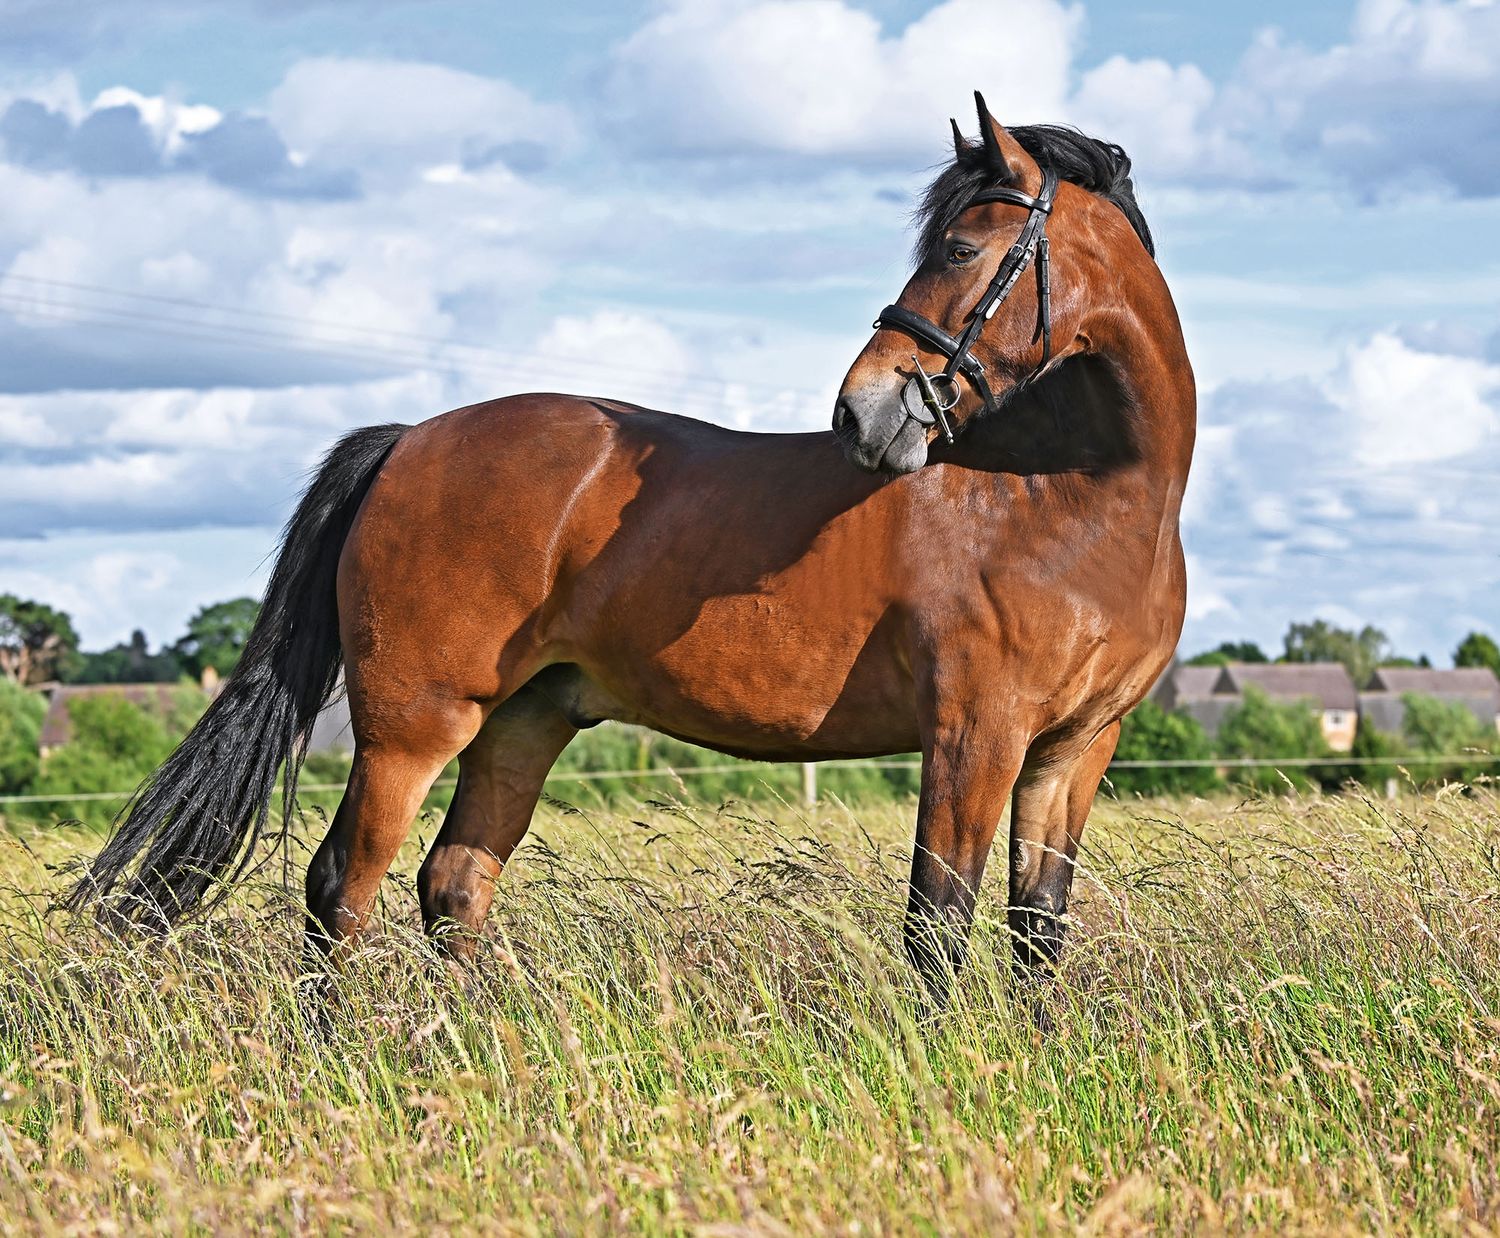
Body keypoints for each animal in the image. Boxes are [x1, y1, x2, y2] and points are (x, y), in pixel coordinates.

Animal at [72, 95, 1194, 1001]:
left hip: (524, 721)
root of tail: (411, 439)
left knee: (453, 883)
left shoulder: (1071, 749)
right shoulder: (972, 734)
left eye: (960, 249)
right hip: (411, 727)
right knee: (343, 885)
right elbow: (939, 924)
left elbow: (1037, 929)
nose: (863, 413)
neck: (1068, 497)